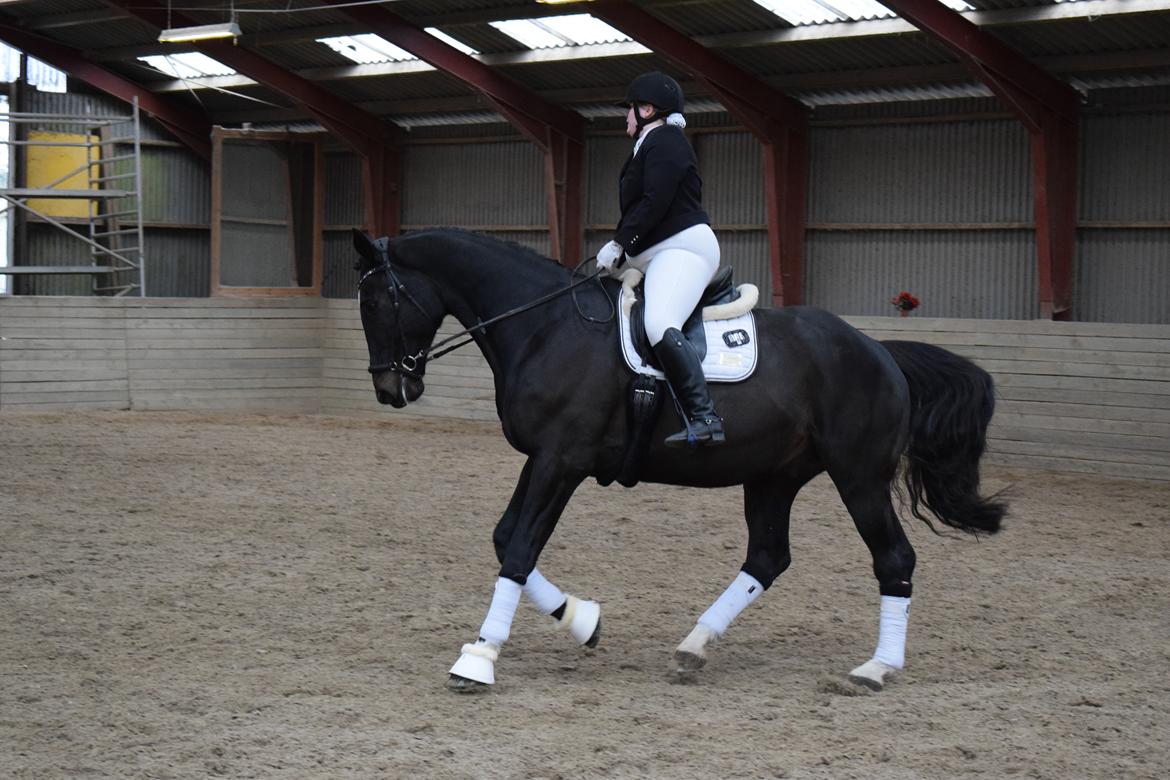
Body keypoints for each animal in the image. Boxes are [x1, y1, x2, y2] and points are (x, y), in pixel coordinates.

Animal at [348, 229, 1006, 692]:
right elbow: (506, 537)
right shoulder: (545, 458)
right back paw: (694, 645)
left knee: (893, 558)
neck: (543, 325)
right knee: (767, 557)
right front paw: (583, 620)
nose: (388, 388)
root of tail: (878, 350)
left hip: (859, 477)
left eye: (378, 300)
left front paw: (480, 657)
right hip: (773, 477)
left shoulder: (562, 458)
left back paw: (876, 668)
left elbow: (518, 550)